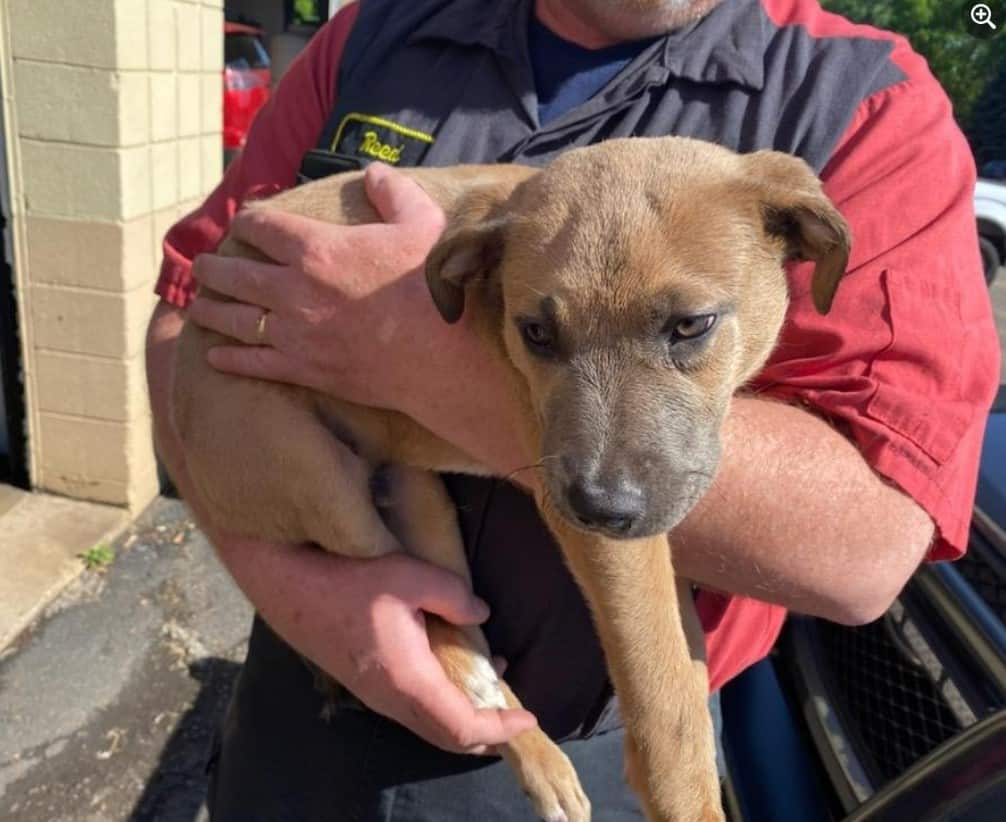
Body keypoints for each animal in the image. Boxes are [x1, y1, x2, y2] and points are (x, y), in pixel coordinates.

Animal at [173, 137, 849, 816]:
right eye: (537, 334)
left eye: (691, 325)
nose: (597, 505)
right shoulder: (600, 530)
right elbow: (662, 692)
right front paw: (688, 799)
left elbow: (680, 655)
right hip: (318, 481)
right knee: (402, 602)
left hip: (419, 498)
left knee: (448, 613)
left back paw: (531, 751)